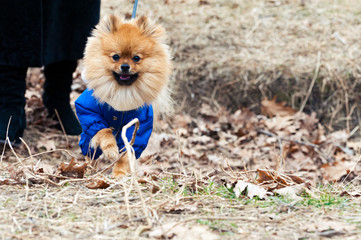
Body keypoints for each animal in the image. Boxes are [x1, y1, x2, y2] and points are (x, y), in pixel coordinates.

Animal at [74, 14, 172, 176]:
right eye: (115, 56)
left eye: (136, 58)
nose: (125, 66)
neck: (123, 91)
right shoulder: (90, 112)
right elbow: (104, 130)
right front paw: (110, 150)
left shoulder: (138, 126)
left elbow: (126, 153)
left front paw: (119, 174)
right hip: (87, 135)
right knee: (90, 151)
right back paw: (88, 169)